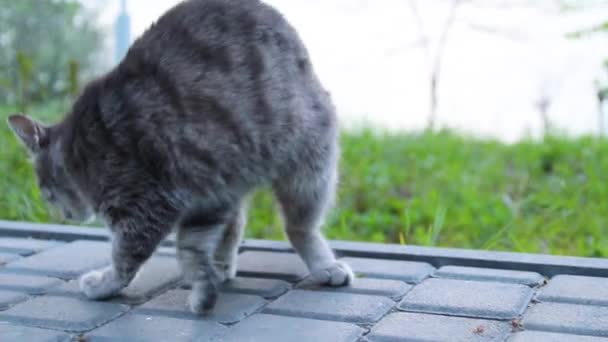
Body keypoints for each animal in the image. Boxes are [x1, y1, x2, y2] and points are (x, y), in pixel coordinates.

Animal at [7, 0, 354, 314]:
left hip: (309, 164)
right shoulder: (207, 195)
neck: (82, 151)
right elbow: (192, 246)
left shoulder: (148, 206)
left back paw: (324, 264)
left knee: (300, 226)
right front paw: (205, 285)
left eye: (46, 193)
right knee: (235, 223)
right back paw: (223, 264)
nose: (61, 215)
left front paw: (105, 284)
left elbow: (127, 257)